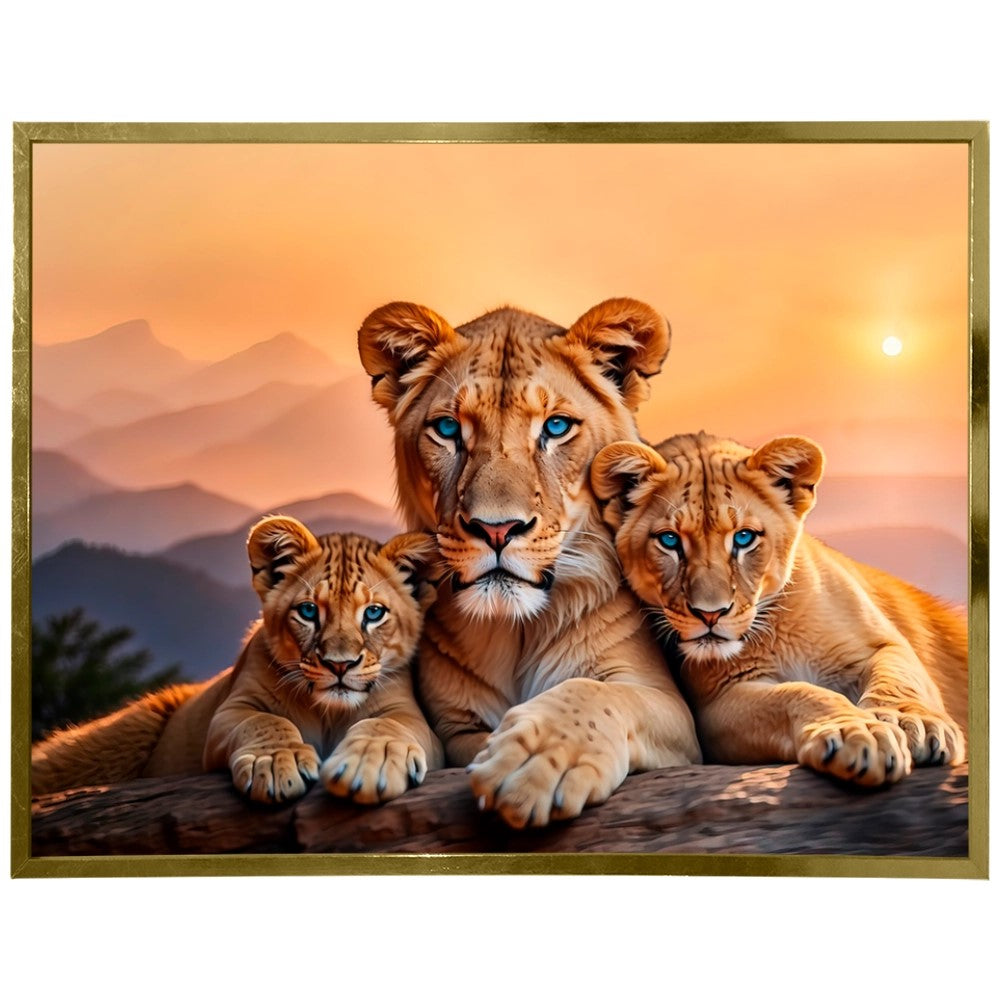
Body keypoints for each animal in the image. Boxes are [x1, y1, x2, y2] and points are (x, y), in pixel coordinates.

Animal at [32, 518, 444, 804]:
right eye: (309, 611)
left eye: (373, 613)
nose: (339, 665)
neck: (328, 712)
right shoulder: (229, 711)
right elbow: (265, 721)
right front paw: (276, 763)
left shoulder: (412, 717)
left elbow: (385, 726)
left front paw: (369, 764)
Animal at [357, 298, 701, 828]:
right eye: (448, 429)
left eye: (556, 427)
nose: (496, 529)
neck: (516, 630)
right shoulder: (455, 723)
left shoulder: (672, 711)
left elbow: (600, 692)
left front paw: (537, 759)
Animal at [590, 431, 968, 786]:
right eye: (670, 540)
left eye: (744, 538)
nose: (710, 614)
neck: (775, 628)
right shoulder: (717, 704)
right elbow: (797, 694)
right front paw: (855, 732)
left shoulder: (882, 644)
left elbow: (898, 678)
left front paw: (913, 722)